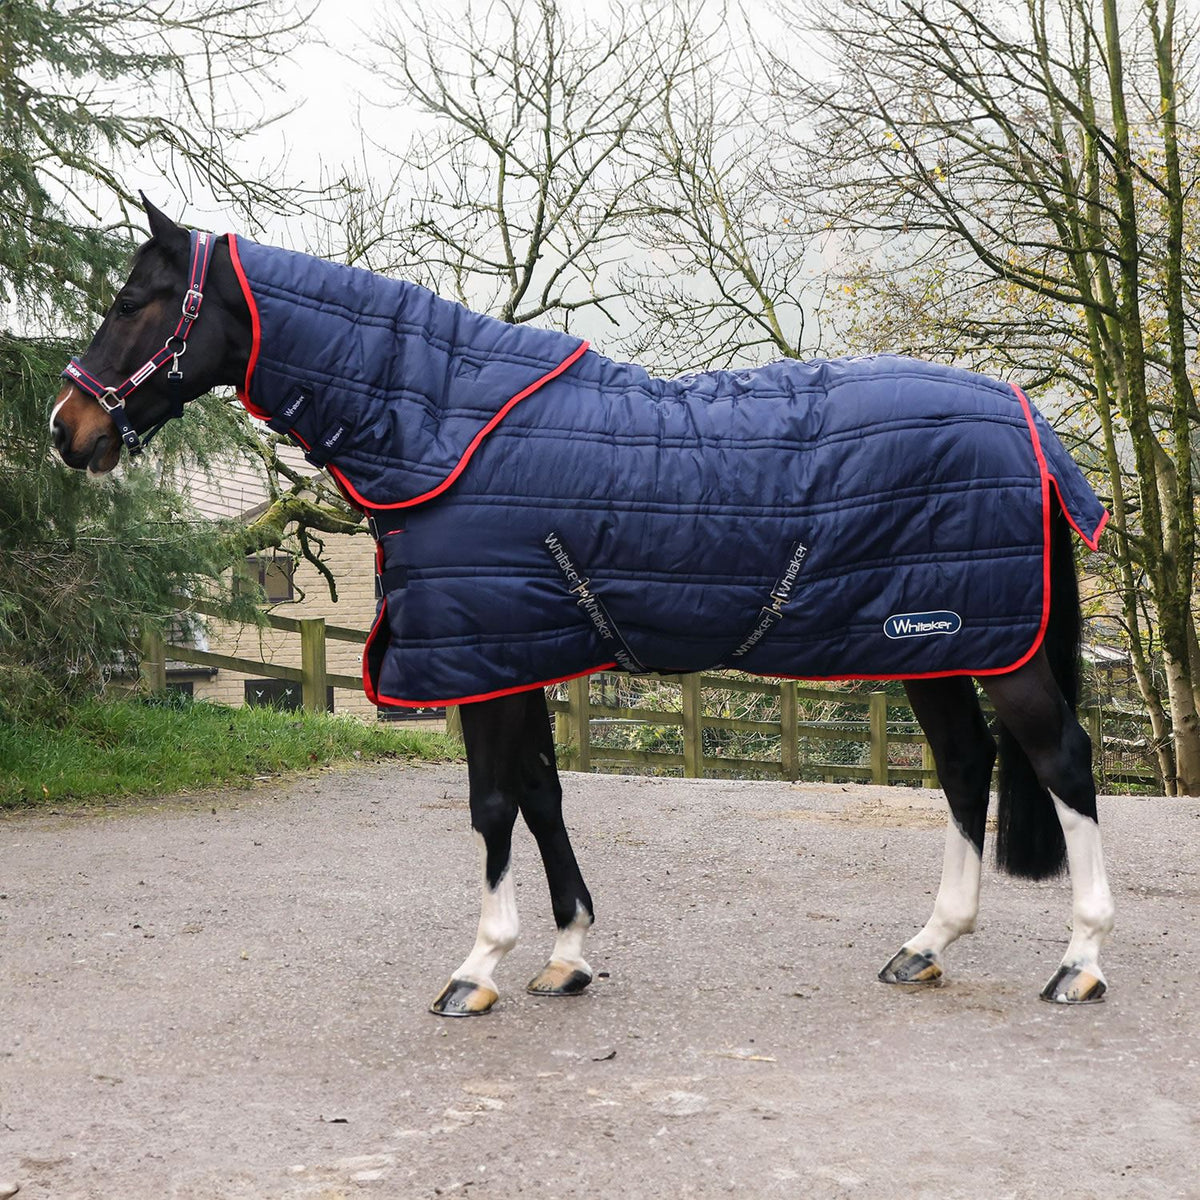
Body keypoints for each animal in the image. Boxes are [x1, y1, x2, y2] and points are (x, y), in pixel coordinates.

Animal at [51, 197, 1115, 1014]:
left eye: (133, 301)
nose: (69, 429)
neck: (441, 422)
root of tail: (1027, 419)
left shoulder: (485, 660)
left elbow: (491, 806)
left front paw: (478, 966)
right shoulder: (520, 655)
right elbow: (541, 796)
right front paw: (567, 956)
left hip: (996, 652)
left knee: (1062, 759)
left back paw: (1081, 962)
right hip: (935, 643)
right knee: (967, 765)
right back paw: (928, 944)